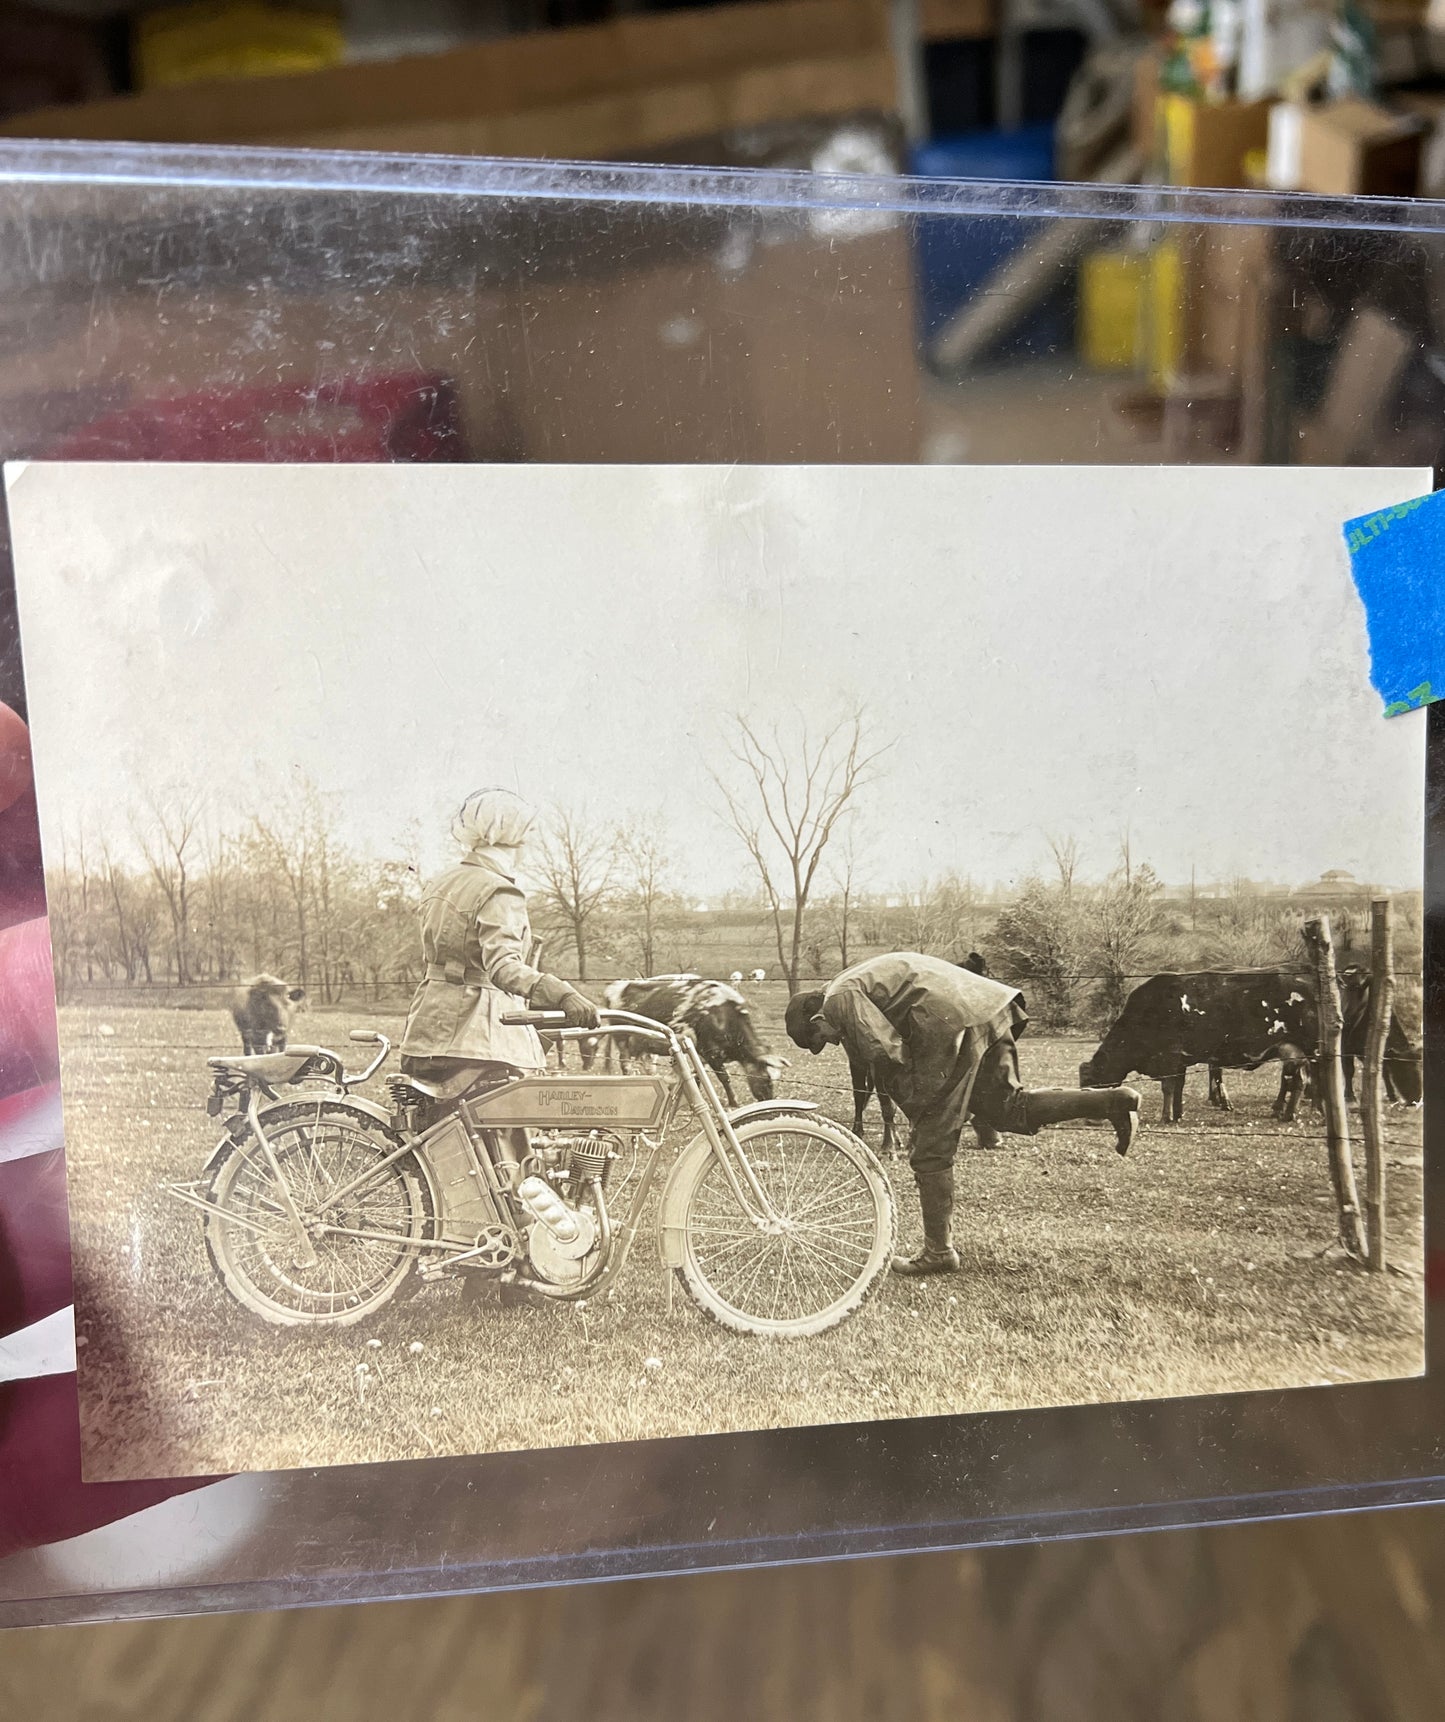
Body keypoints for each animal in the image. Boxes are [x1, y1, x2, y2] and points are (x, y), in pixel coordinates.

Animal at [606, 971, 792, 1102]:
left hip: (642, 1044)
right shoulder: (710, 1051)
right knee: (625, 1065)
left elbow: (697, 1076)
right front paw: (733, 1102)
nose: (768, 1099)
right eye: (767, 1078)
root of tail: (617, 986)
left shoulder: (702, 1053)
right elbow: (724, 1078)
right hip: (623, 1039)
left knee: (646, 1066)